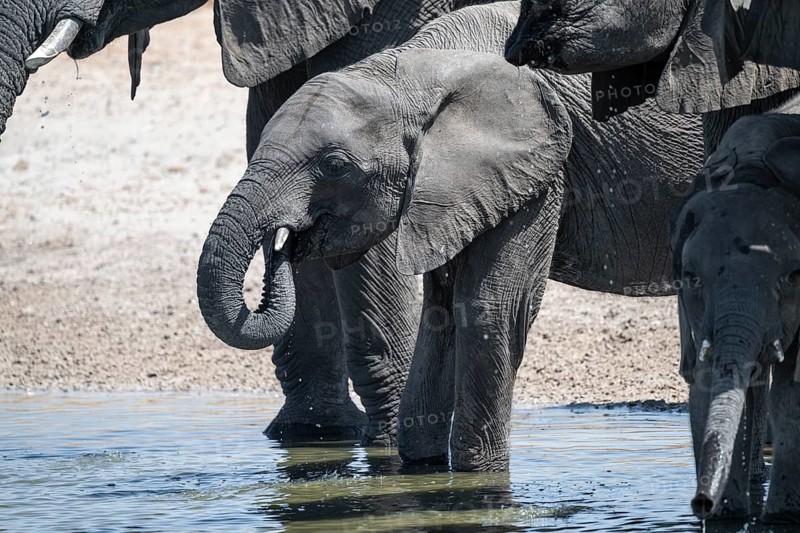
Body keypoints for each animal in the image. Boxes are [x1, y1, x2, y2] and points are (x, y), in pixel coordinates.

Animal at [196, 1, 706, 471]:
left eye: (335, 166)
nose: (282, 244)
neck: (417, 69)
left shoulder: (540, 165)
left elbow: (489, 307)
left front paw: (478, 477)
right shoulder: (455, 190)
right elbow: (440, 312)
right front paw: (422, 469)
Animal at [671, 108, 800, 523]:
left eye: (793, 276)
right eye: (691, 276)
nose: (700, 503)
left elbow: (792, 395)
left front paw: (781, 519)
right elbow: (705, 387)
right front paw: (728, 517)